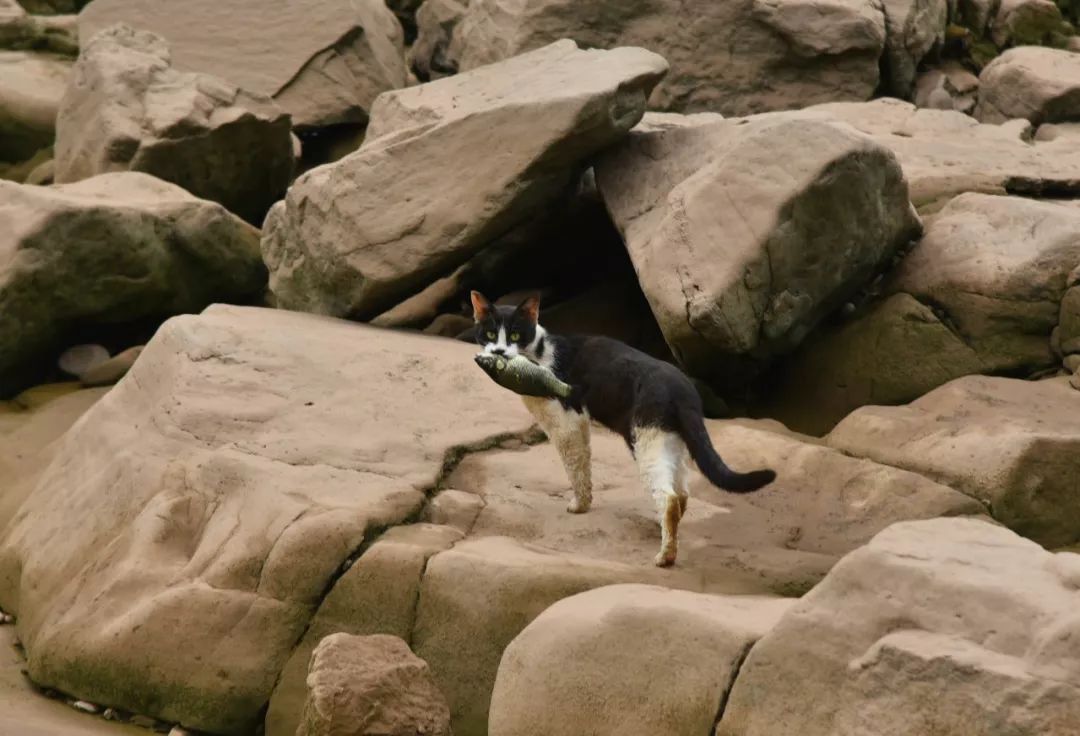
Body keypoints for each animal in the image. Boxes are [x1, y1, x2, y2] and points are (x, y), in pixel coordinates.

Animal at [468, 289, 773, 566]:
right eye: (491, 334)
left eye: (515, 335)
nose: (498, 351)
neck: (538, 354)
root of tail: (683, 388)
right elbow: (583, 464)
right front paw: (585, 502)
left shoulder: (567, 422)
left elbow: (575, 466)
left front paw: (579, 505)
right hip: (667, 438)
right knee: (682, 493)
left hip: (646, 439)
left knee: (669, 498)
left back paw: (665, 556)